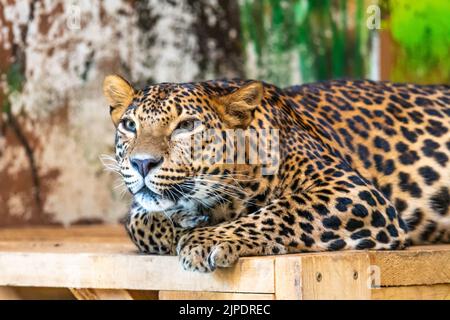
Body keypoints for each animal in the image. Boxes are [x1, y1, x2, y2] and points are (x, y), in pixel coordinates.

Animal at [103, 75, 450, 272]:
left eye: (186, 125)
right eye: (130, 125)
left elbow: (283, 210)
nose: (142, 163)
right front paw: (186, 223)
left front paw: (206, 238)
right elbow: (142, 222)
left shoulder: (353, 191)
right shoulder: (142, 209)